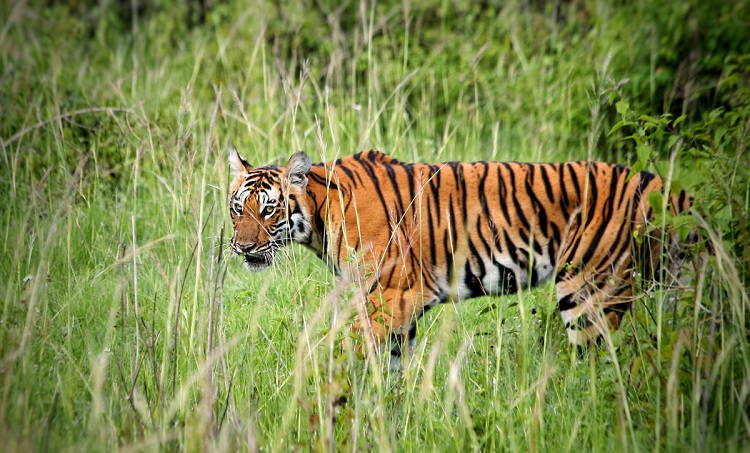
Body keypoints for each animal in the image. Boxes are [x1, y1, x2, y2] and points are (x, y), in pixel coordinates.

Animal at [228, 148, 692, 364]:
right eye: (237, 208)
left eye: (268, 210)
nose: (243, 248)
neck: (322, 217)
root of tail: (664, 185)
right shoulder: (397, 309)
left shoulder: (387, 299)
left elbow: (345, 356)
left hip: (592, 292)